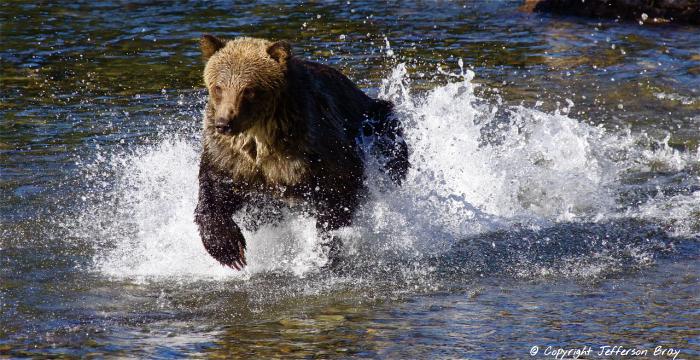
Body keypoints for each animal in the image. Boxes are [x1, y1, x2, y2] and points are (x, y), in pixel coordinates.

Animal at [194, 35, 408, 270]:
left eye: (248, 89)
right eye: (218, 87)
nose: (224, 123)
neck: (262, 136)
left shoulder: (314, 143)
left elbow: (340, 185)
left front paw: (326, 244)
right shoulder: (229, 156)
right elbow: (215, 190)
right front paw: (229, 250)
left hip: (376, 125)